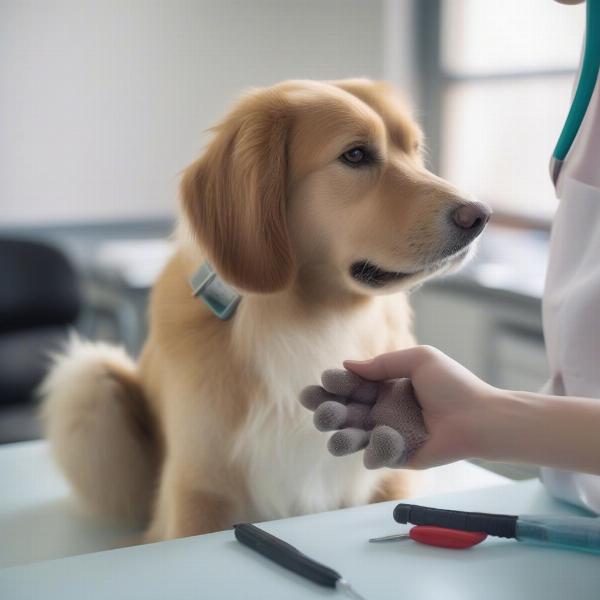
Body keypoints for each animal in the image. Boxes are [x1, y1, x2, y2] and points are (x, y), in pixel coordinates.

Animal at [43, 77, 492, 540]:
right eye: (355, 154)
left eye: (415, 150)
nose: (480, 215)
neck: (308, 317)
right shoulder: (197, 492)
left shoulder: (387, 481)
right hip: (89, 379)